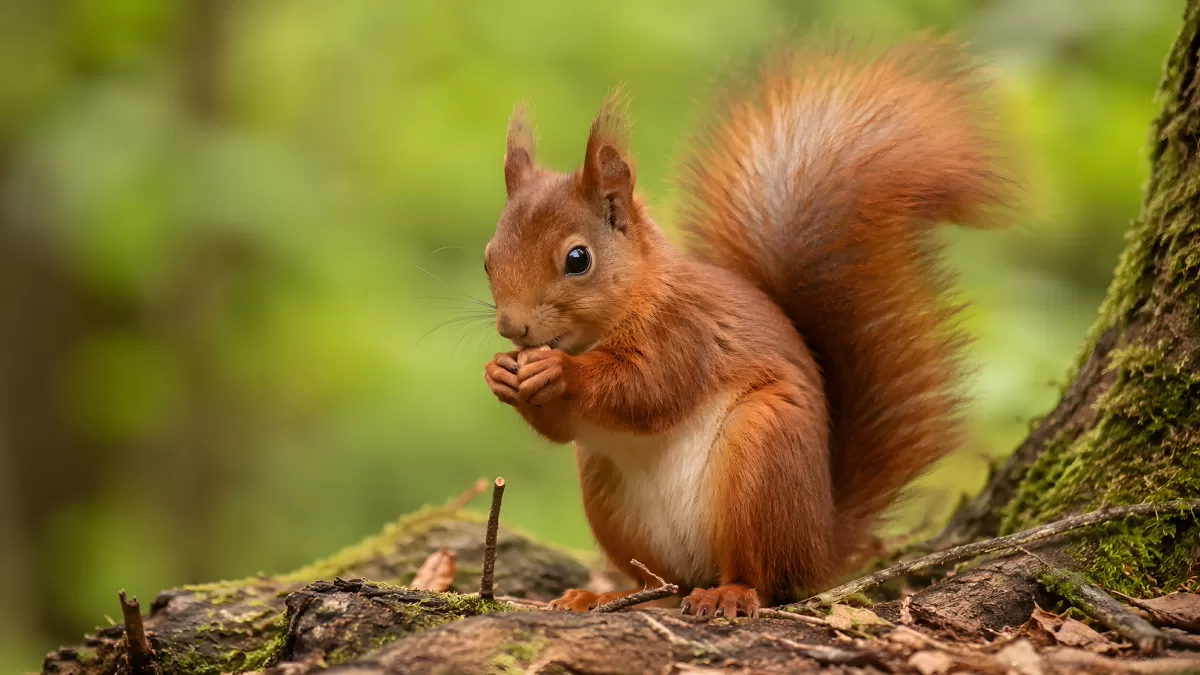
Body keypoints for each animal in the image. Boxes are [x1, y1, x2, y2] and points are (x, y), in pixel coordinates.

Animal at [482, 38, 1009, 617]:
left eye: (578, 260)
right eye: (488, 258)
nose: (512, 327)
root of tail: (821, 547)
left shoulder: (686, 334)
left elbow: (646, 389)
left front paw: (558, 371)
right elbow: (563, 428)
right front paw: (500, 373)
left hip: (762, 458)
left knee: (763, 577)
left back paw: (729, 592)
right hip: (609, 492)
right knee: (666, 582)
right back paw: (611, 596)